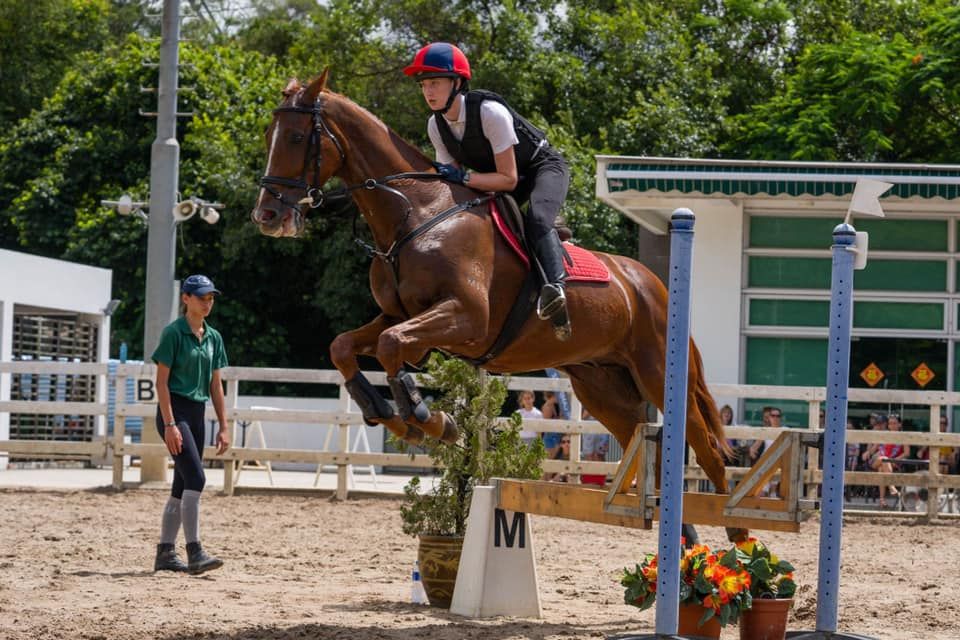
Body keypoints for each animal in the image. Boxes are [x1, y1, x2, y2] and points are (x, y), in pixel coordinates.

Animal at [250, 71, 743, 542]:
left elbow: (391, 346)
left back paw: (735, 529)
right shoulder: (399, 315)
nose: (267, 217)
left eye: (297, 137)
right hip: (602, 387)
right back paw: (684, 536)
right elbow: (345, 347)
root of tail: (652, 283)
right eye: (269, 133)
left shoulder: (466, 318)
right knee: (644, 446)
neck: (417, 214)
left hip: (657, 371)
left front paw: (428, 419)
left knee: (705, 444)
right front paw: (387, 411)